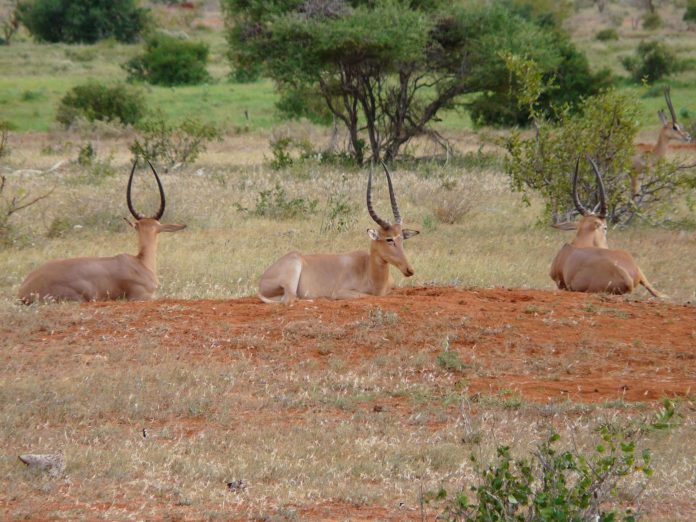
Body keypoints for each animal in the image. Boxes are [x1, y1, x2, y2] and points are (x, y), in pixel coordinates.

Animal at [256, 160, 416, 302]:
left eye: (402, 238)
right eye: (389, 239)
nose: (409, 270)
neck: (368, 269)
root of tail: (262, 279)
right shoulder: (341, 292)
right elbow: (368, 296)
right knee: (290, 299)